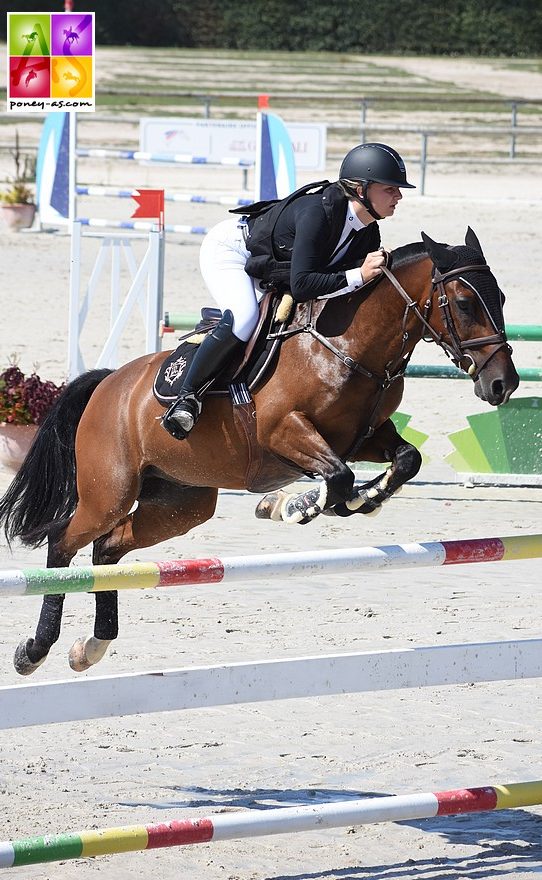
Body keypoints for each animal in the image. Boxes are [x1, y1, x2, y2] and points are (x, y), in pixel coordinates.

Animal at [0, 227, 520, 672]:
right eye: (464, 302)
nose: (503, 384)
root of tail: (108, 383)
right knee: (63, 543)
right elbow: (337, 477)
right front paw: (294, 505)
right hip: (108, 491)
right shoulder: (283, 433)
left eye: (500, 297)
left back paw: (91, 646)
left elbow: (403, 460)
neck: (348, 344)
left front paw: (355, 502)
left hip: (179, 504)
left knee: (107, 548)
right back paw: (35, 649)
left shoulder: (366, 435)